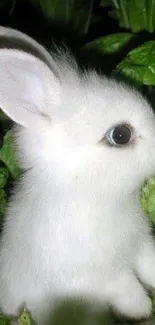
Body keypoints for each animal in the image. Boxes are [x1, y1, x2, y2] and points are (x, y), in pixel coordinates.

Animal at [0, 27, 155, 324]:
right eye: (121, 135)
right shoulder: (96, 274)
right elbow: (124, 287)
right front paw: (142, 309)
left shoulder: (138, 243)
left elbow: (148, 262)